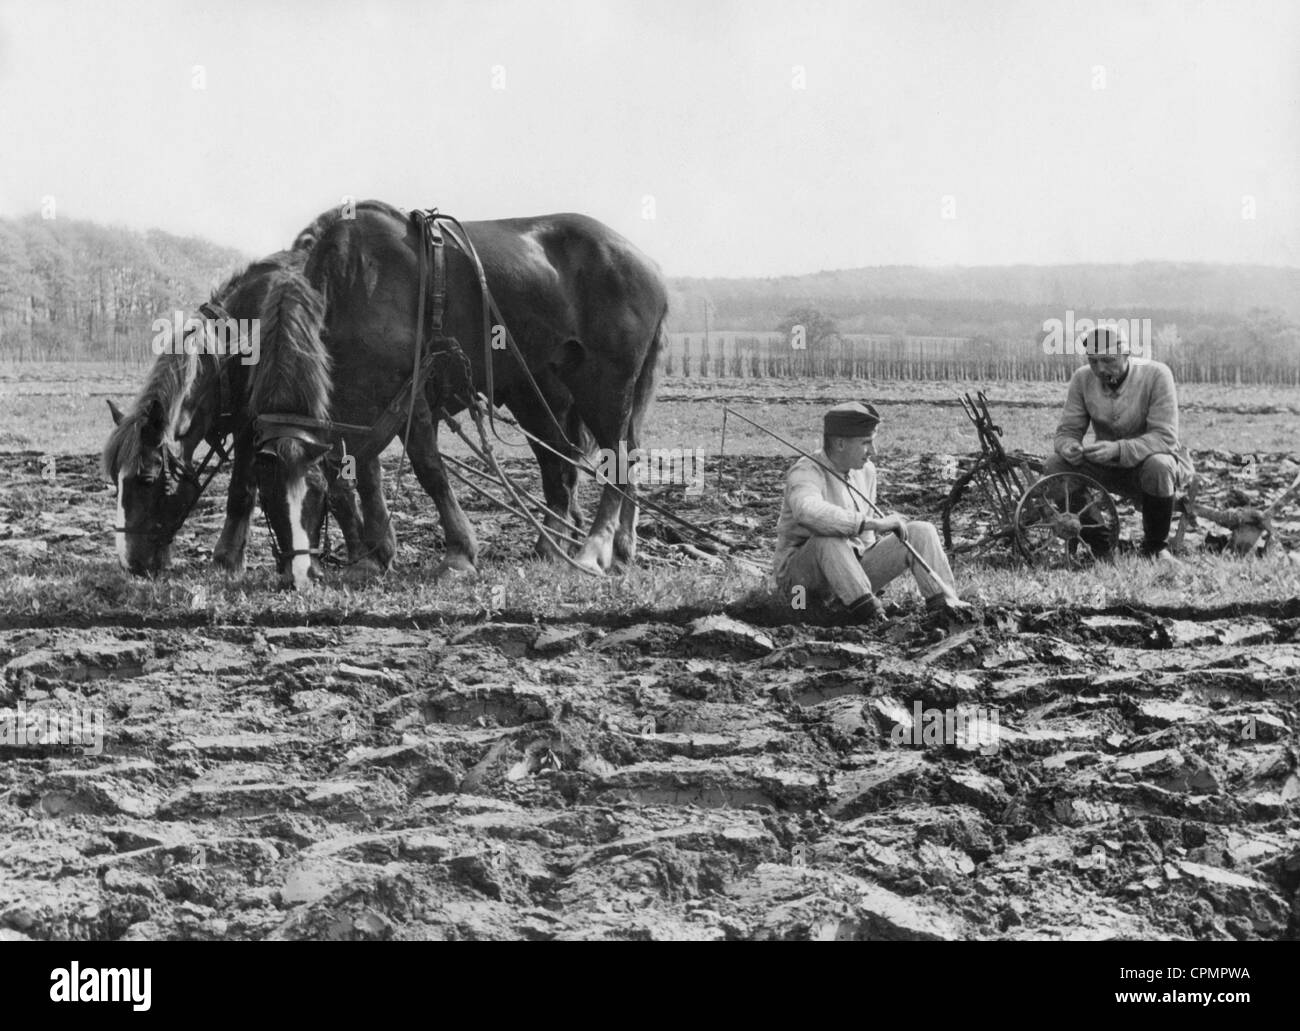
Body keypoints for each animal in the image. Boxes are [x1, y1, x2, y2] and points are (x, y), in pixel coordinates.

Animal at [102, 250, 364, 587]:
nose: (129, 563)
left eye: (146, 479)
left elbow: (241, 491)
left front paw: (227, 560)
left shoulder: (252, 428)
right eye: (114, 479)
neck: (228, 353)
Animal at [265, 197, 670, 574]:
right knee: (577, 467)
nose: (293, 574)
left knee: (617, 462)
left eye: (311, 493)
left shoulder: (411, 396)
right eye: (265, 496)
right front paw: (374, 556)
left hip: (605, 385)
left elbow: (429, 471)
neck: (353, 283)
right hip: (545, 397)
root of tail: (648, 265)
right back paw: (607, 547)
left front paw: (458, 552)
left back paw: (593, 550)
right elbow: (364, 473)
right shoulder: (364, 402)